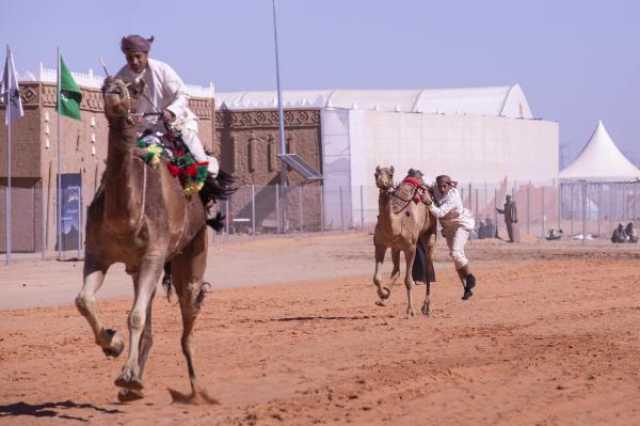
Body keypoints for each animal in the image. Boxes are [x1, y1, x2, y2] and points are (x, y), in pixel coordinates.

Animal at [75, 79, 226, 402]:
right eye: (107, 83)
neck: (126, 216)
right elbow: (84, 300)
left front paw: (126, 375)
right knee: (150, 320)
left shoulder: (153, 255)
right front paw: (113, 344)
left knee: (188, 314)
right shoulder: (97, 254)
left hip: (191, 250)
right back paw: (134, 384)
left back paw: (196, 391)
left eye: (131, 88)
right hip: (141, 269)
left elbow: (135, 316)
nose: (112, 89)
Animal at [372, 166, 438, 316]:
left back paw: (427, 307)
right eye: (376, 174)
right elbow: (376, 278)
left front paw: (410, 310)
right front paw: (383, 294)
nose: (382, 183)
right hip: (396, 248)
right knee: (396, 270)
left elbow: (408, 280)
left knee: (428, 268)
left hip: (430, 231)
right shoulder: (380, 245)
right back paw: (384, 298)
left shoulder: (410, 248)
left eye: (391, 174)